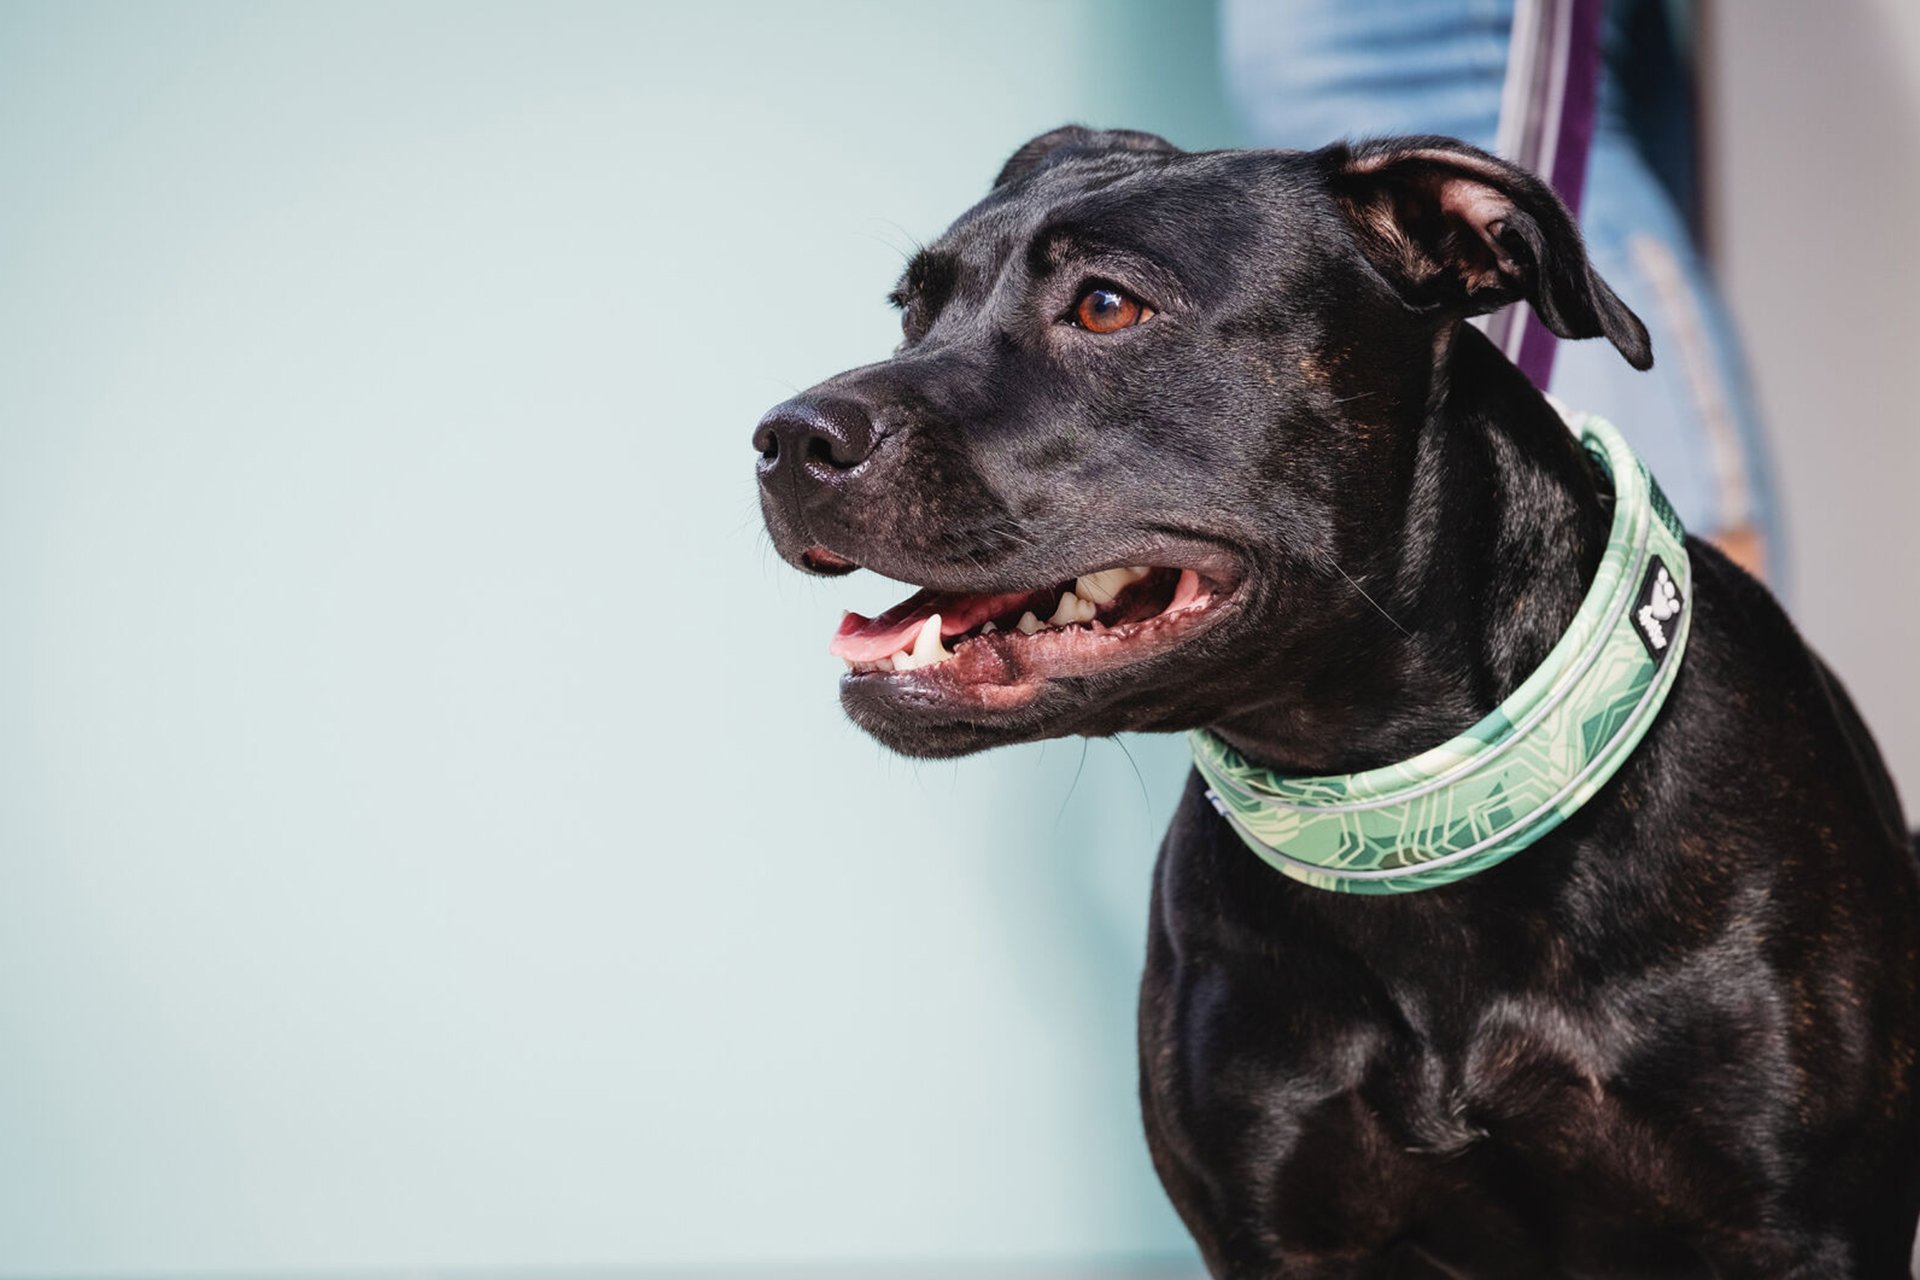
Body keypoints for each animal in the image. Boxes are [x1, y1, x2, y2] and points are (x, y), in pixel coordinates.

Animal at [753, 127, 1920, 1276]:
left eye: (1107, 305)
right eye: (913, 310)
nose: (785, 438)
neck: (1416, 820)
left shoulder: (1802, 1231)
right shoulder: (1275, 1233)